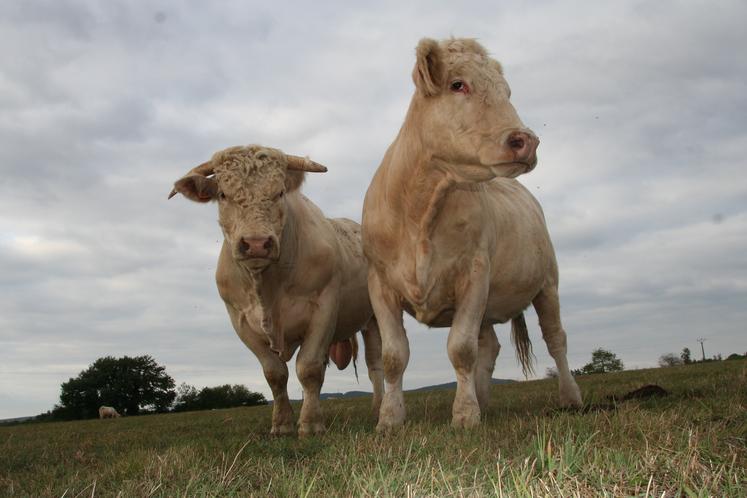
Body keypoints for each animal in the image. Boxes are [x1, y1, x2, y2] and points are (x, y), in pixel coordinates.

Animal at [362, 38, 584, 432]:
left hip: (548, 284)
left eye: (507, 92)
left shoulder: (474, 274)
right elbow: (394, 356)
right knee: (491, 345)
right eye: (458, 84)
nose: (526, 140)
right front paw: (390, 419)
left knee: (556, 339)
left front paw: (464, 414)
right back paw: (483, 398)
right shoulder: (380, 283)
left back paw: (570, 397)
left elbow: (461, 348)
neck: (420, 210)